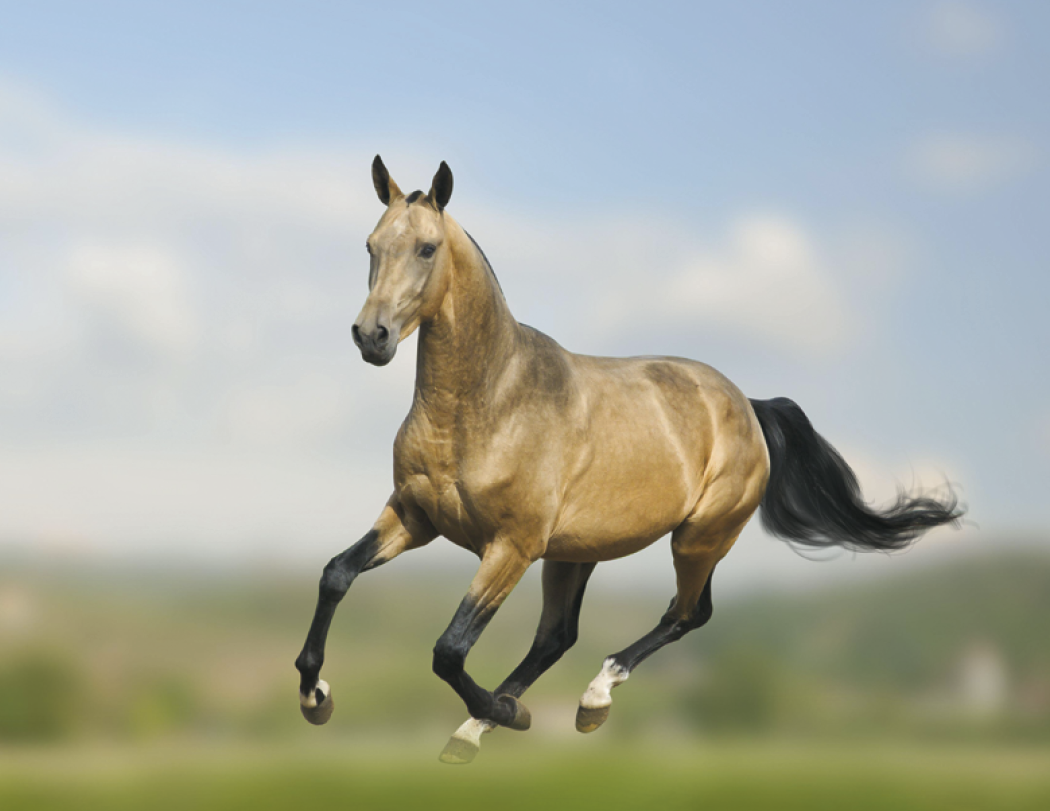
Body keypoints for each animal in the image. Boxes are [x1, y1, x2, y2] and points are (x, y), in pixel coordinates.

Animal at [294, 157, 962, 764]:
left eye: (427, 248)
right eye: (371, 245)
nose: (371, 336)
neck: (487, 403)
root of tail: (747, 405)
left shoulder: (511, 546)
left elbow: (449, 649)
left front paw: (509, 713)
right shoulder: (415, 517)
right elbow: (336, 575)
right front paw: (314, 694)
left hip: (697, 537)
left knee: (686, 614)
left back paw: (584, 701)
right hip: (577, 553)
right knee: (559, 636)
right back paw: (481, 728)